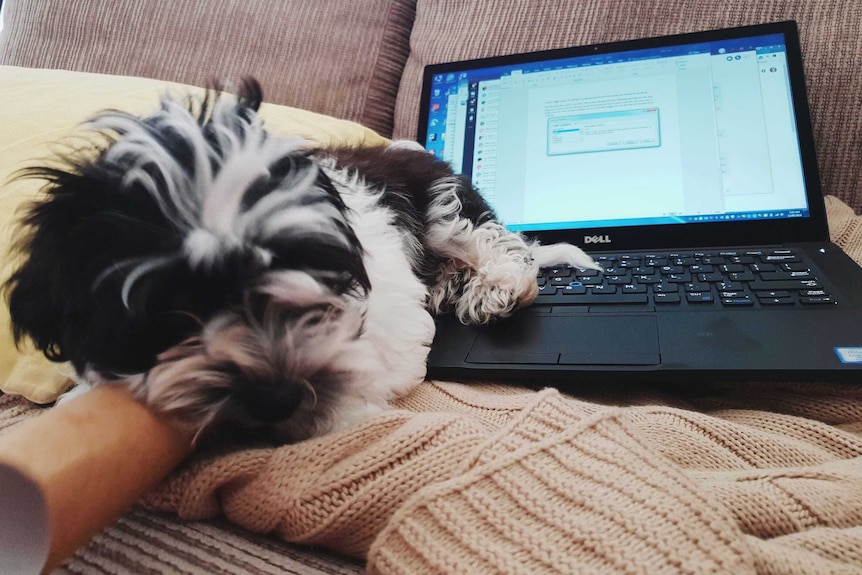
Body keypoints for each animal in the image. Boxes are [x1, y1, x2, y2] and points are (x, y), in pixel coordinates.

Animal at [5, 80, 600, 440]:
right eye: (169, 311)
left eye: (298, 275)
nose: (275, 398)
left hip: (444, 209)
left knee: (502, 245)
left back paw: (495, 286)